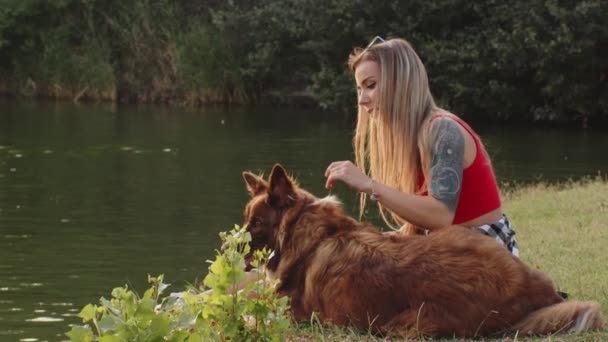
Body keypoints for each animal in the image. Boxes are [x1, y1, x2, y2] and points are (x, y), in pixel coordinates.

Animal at [241, 164, 604, 338]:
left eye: (256, 224)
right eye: (246, 219)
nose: (232, 251)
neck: (309, 232)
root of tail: (531, 287)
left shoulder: (293, 315)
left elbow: (250, 313)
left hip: (405, 322)